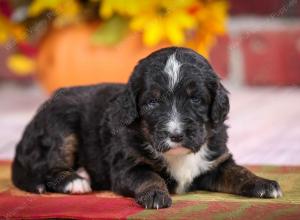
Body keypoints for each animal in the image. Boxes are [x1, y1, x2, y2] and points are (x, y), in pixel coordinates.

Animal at [12, 47, 282, 209]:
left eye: (196, 99)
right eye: (152, 102)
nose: (176, 135)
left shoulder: (216, 161)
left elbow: (239, 172)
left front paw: (264, 184)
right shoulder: (127, 166)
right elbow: (148, 176)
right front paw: (155, 195)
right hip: (61, 128)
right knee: (50, 168)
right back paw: (75, 181)